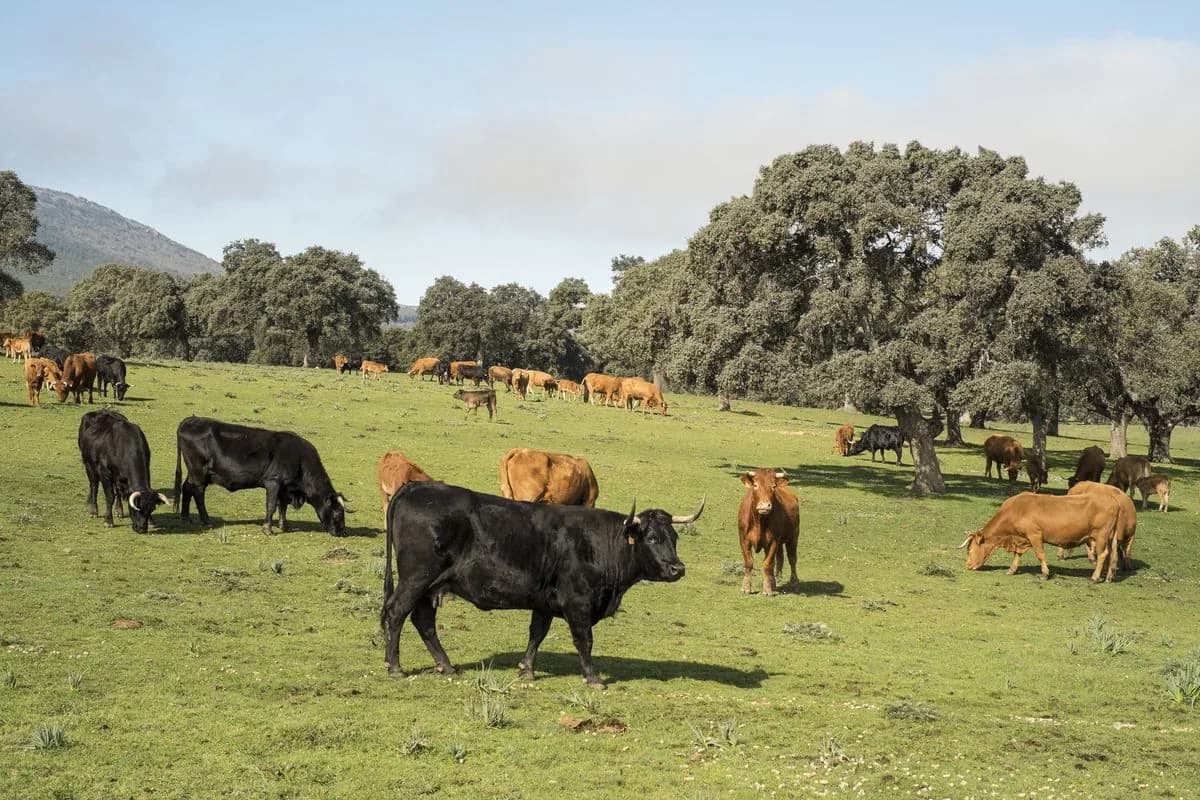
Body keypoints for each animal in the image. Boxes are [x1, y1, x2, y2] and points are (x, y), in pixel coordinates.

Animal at [173, 416, 348, 536]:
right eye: (338, 512)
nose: (341, 532)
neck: (299, 459)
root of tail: (191, 420)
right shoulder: (273, 482)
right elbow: (271, 506)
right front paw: (268, 529)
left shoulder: (284, 488)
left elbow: (282, 507)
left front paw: (284, 526)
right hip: (199, 472)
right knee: (198, 493)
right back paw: (206, 520)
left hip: (194, 472)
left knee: (187, 488)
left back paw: (185, 518)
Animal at [381, 481, 703, 687]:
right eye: (653, 538)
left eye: (674, 538)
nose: (677, 568)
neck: (600, 543)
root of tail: (415, 487)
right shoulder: (578, 604)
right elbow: (584, 640)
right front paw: (593, 678)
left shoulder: (545, 602)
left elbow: (537, 634)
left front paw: (527, 669)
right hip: (417, 578)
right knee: (396, 613)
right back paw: (395, 667)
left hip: (430, 586)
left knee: (423, 621)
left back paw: (446, 665)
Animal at [737, 468, 800, 596]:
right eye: (755, 485)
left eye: (773, 486)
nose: (765, 506)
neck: (759, 522)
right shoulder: (743, 539)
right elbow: (748, 563)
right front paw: (746, 587)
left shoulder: (773, 541)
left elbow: (767, 564)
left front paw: (767, 590)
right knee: (779, 559)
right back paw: (774, 583)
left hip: (793, 538)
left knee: (792, 559)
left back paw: (794, 582)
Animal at [959, 492, 1118, 582]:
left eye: (969, 550)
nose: (968, 566)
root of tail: (1114, 501)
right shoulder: (1021, 539)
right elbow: (1017, 554)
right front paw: (1012, 570)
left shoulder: (1034, 535)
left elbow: (1040, 554)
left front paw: (1045, 574)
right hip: (1111, 537)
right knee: (1112, 554)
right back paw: (1109, 577)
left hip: (1101, 535)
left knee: (1103, 554)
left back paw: (1095, 577)